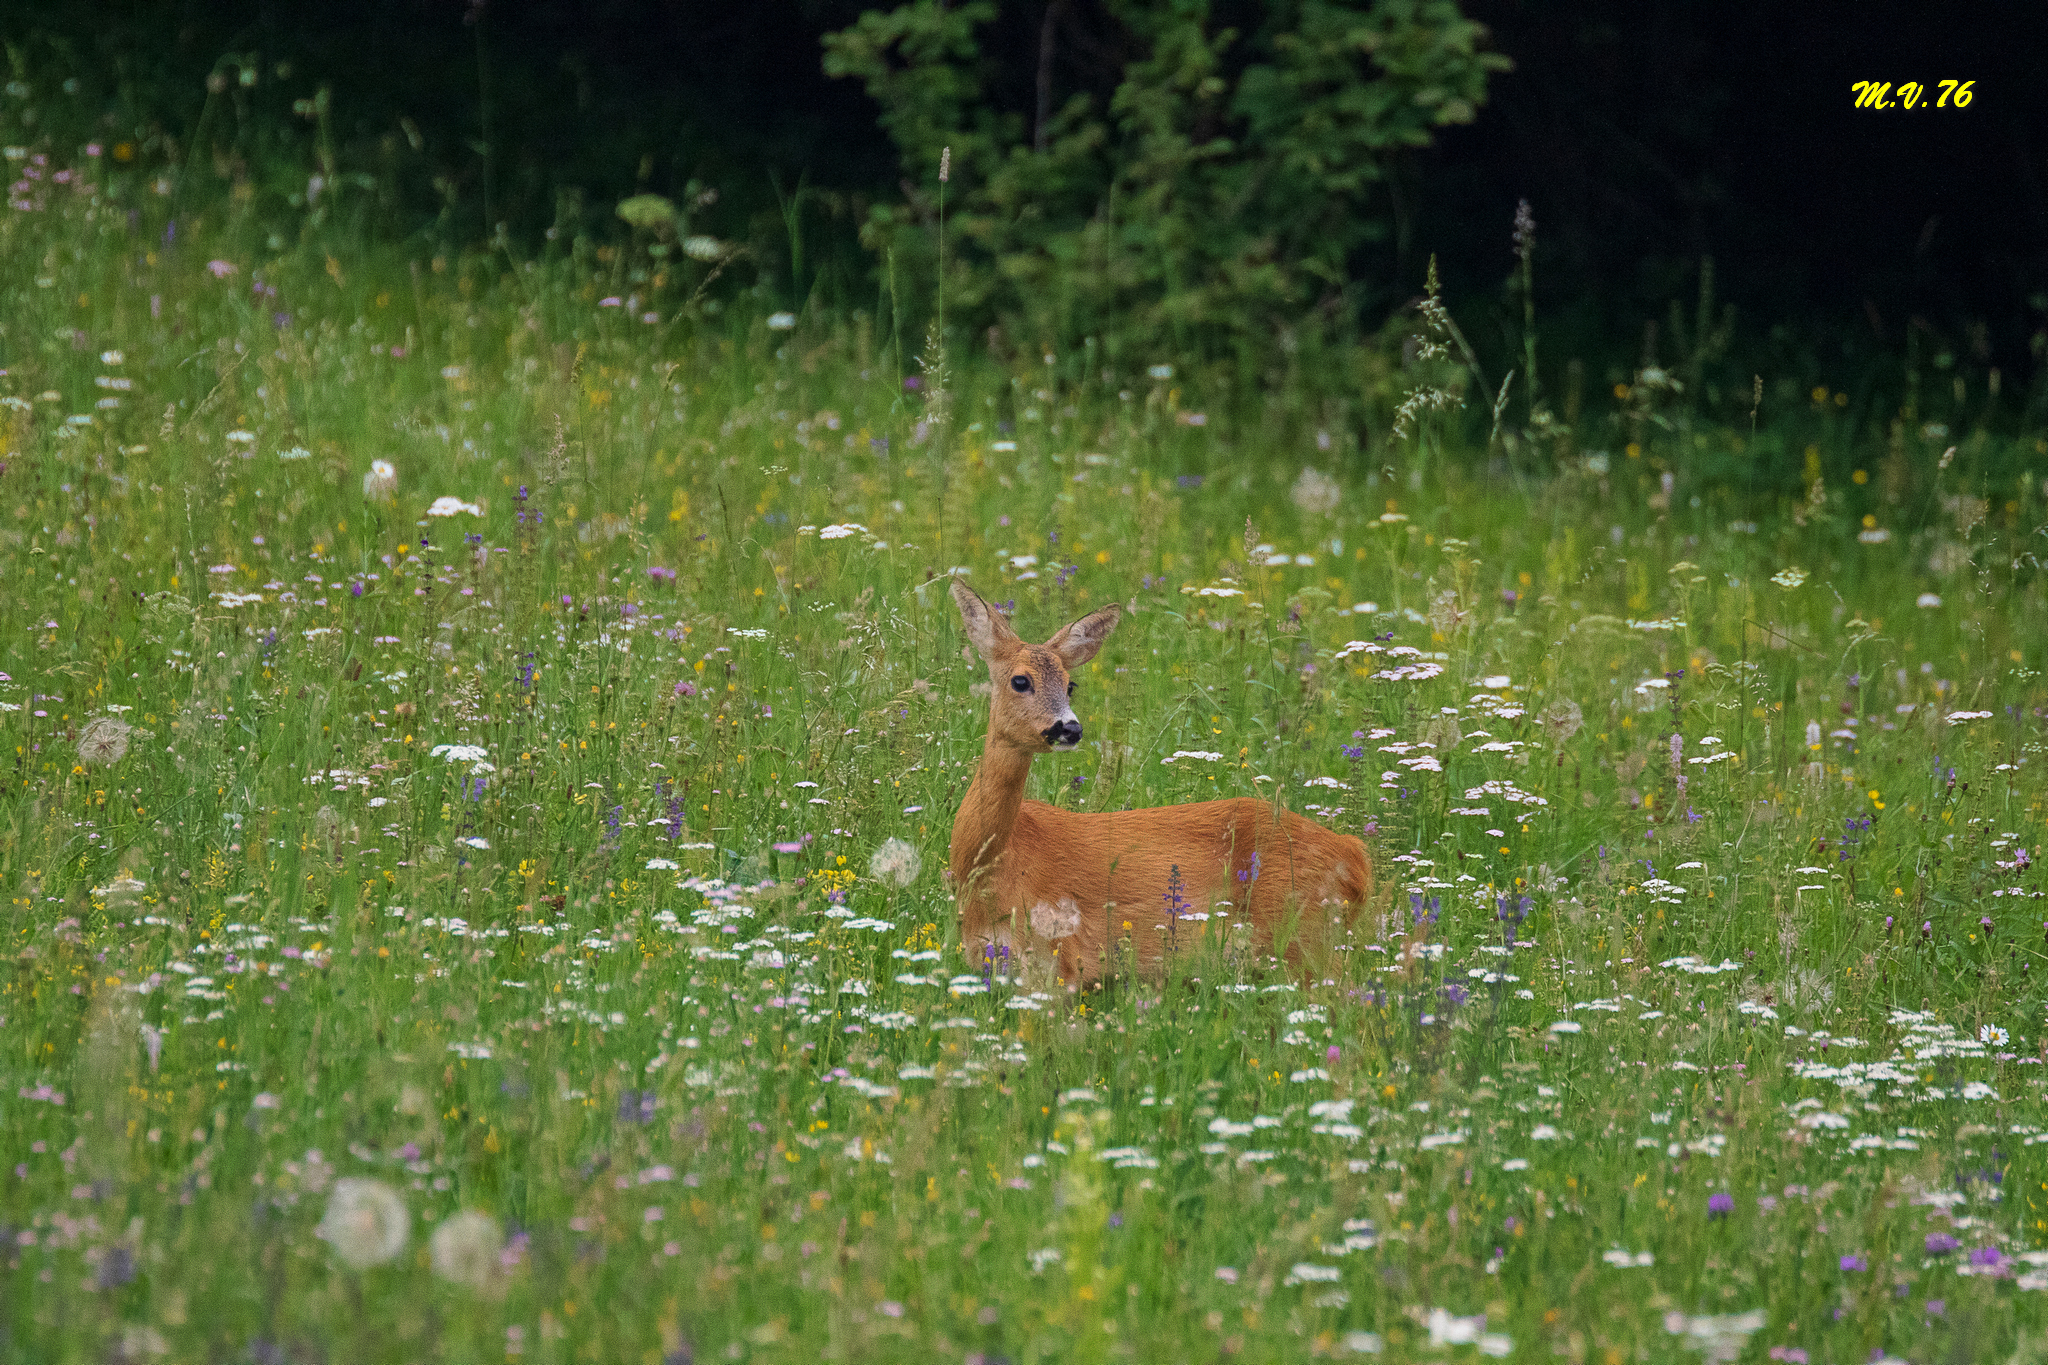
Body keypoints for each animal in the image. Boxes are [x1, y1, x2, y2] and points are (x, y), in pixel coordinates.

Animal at [947, 579, 1374, 986]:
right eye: (1020, 681)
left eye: (1070, 685)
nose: (1069, 728)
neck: (993, 867)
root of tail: (1356, 856)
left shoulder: (1058, 963)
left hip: (1304, 936)